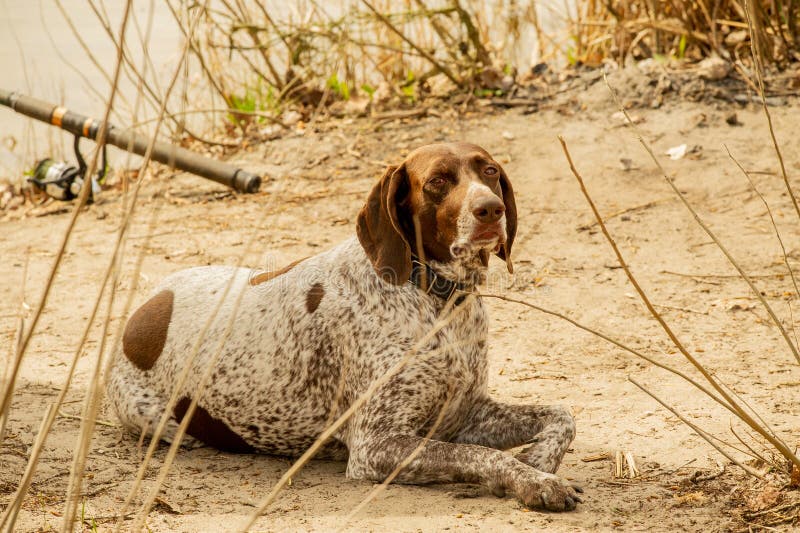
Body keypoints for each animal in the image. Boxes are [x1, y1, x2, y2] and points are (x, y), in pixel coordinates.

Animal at [106, 141, 580, 512]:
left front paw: (537, 462)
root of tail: (142, 310)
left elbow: (562, 414)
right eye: (438, 181)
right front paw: (534, 480)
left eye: (490, 171)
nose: (490, 209)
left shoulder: (464, 414)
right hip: (157, 421)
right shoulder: (377, 445)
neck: (439, 302)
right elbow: (483, 456)